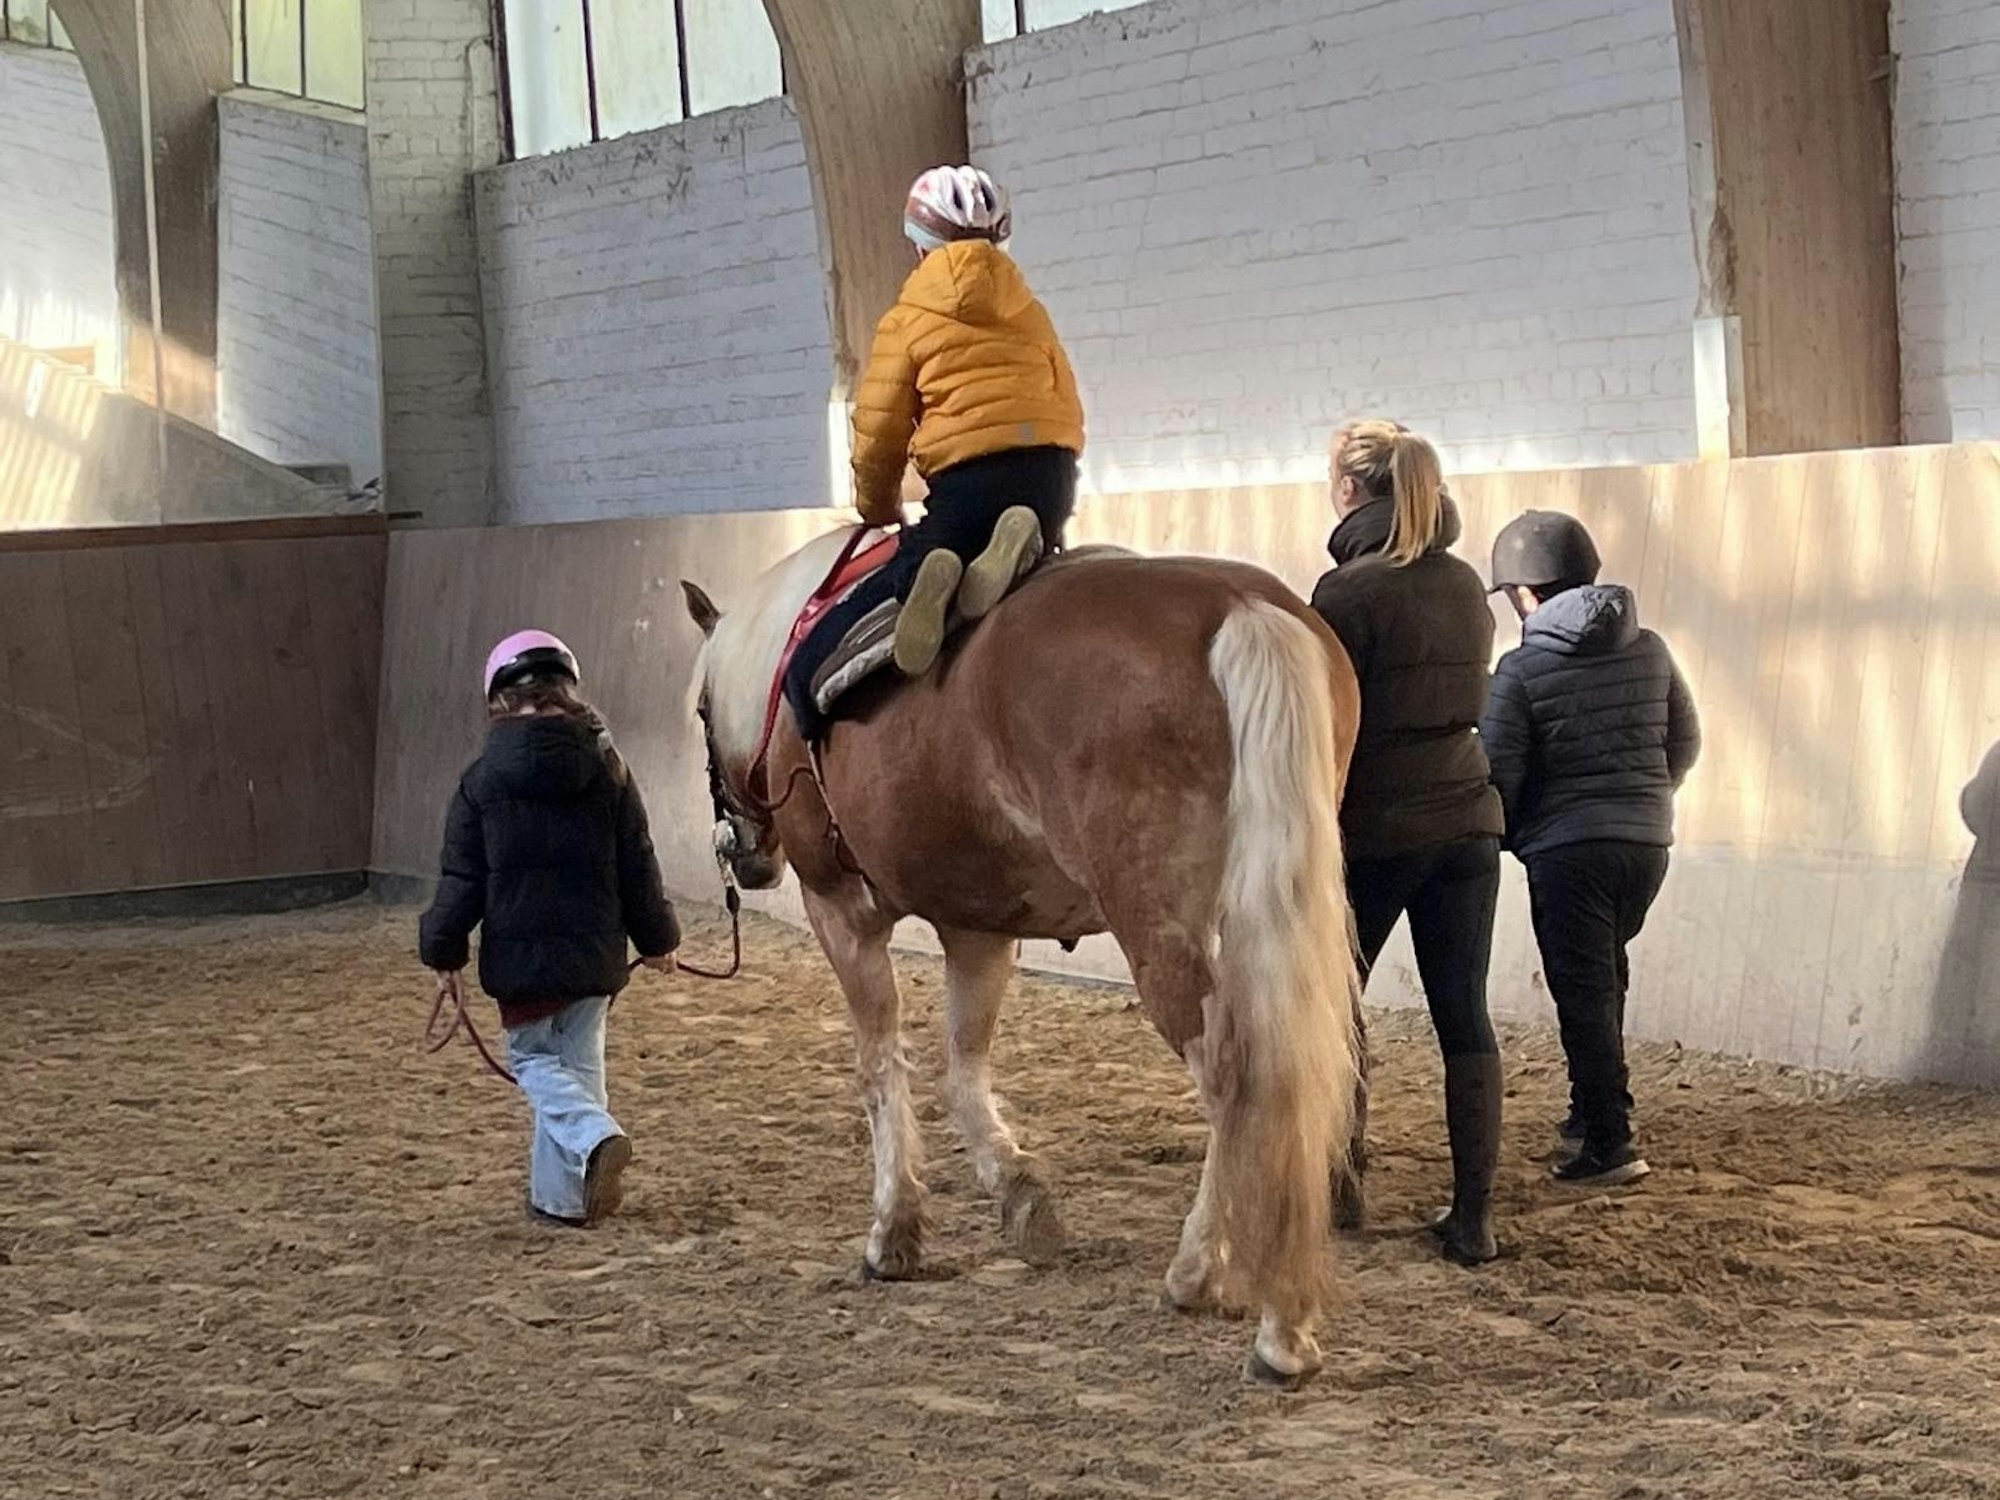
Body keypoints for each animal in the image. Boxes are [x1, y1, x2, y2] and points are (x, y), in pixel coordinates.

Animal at [680, 530, 1365, 1385]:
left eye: (700, 710)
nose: (741, 856)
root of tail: (1237, 608)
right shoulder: (979, 927)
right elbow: (964, 1062)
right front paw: (1017, 1190)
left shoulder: (840, 910)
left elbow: (880, 1063)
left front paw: (893, 1233)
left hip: (1159, 928)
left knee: (1237, 1083)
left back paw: (1240, 1304)